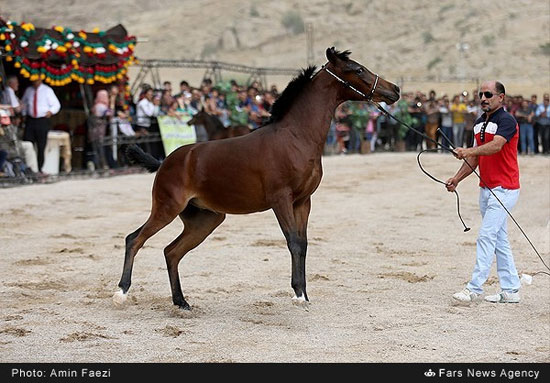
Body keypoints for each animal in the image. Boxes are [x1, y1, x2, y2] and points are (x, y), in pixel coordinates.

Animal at [113, 48, 402, 312]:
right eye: (358, 69)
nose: (395, 90)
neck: (295, 137)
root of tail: (165, 162)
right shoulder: (280, 199)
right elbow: (293, 241)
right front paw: (298, 295)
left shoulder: (303, 201)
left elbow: (303, 244)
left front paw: (304, 294)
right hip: (167, 208)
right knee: (134, 239)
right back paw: (121, 292)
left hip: (205, 220)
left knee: (171, 252)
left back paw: (181, 302)